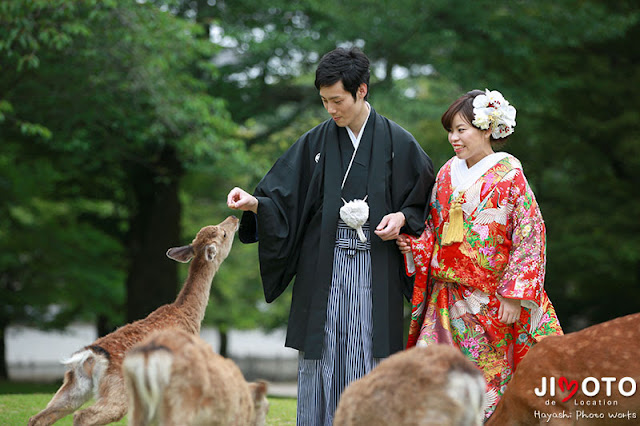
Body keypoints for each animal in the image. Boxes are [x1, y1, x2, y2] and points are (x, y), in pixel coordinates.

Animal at [28, 216, 240, 426]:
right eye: (224, 234)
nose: (234, 217)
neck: (189, 317)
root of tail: (89, 356)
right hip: (118, 390)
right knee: (84, 415)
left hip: (74, 386)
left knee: (40, 416)